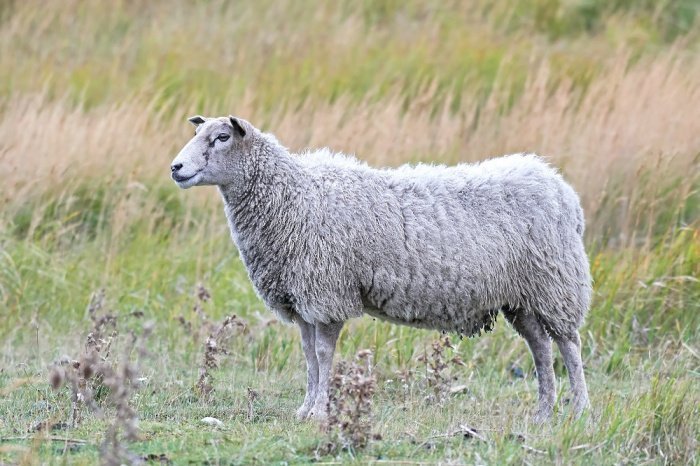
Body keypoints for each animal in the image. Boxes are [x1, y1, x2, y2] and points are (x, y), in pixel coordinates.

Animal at [168, 115, 592, 422]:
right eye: (199, 133)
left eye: (222, 137)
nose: (176, 167)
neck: (293, 196)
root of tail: (561, 187)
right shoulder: (302, 298)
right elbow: (308, 355)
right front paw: (305, 408)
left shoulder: (328, 293)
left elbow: (323, 354)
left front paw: (319, 411)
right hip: (523, 296)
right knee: (541, 348)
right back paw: (543, 412)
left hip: (556, 283)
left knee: (569, 345)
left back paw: (579, 410)